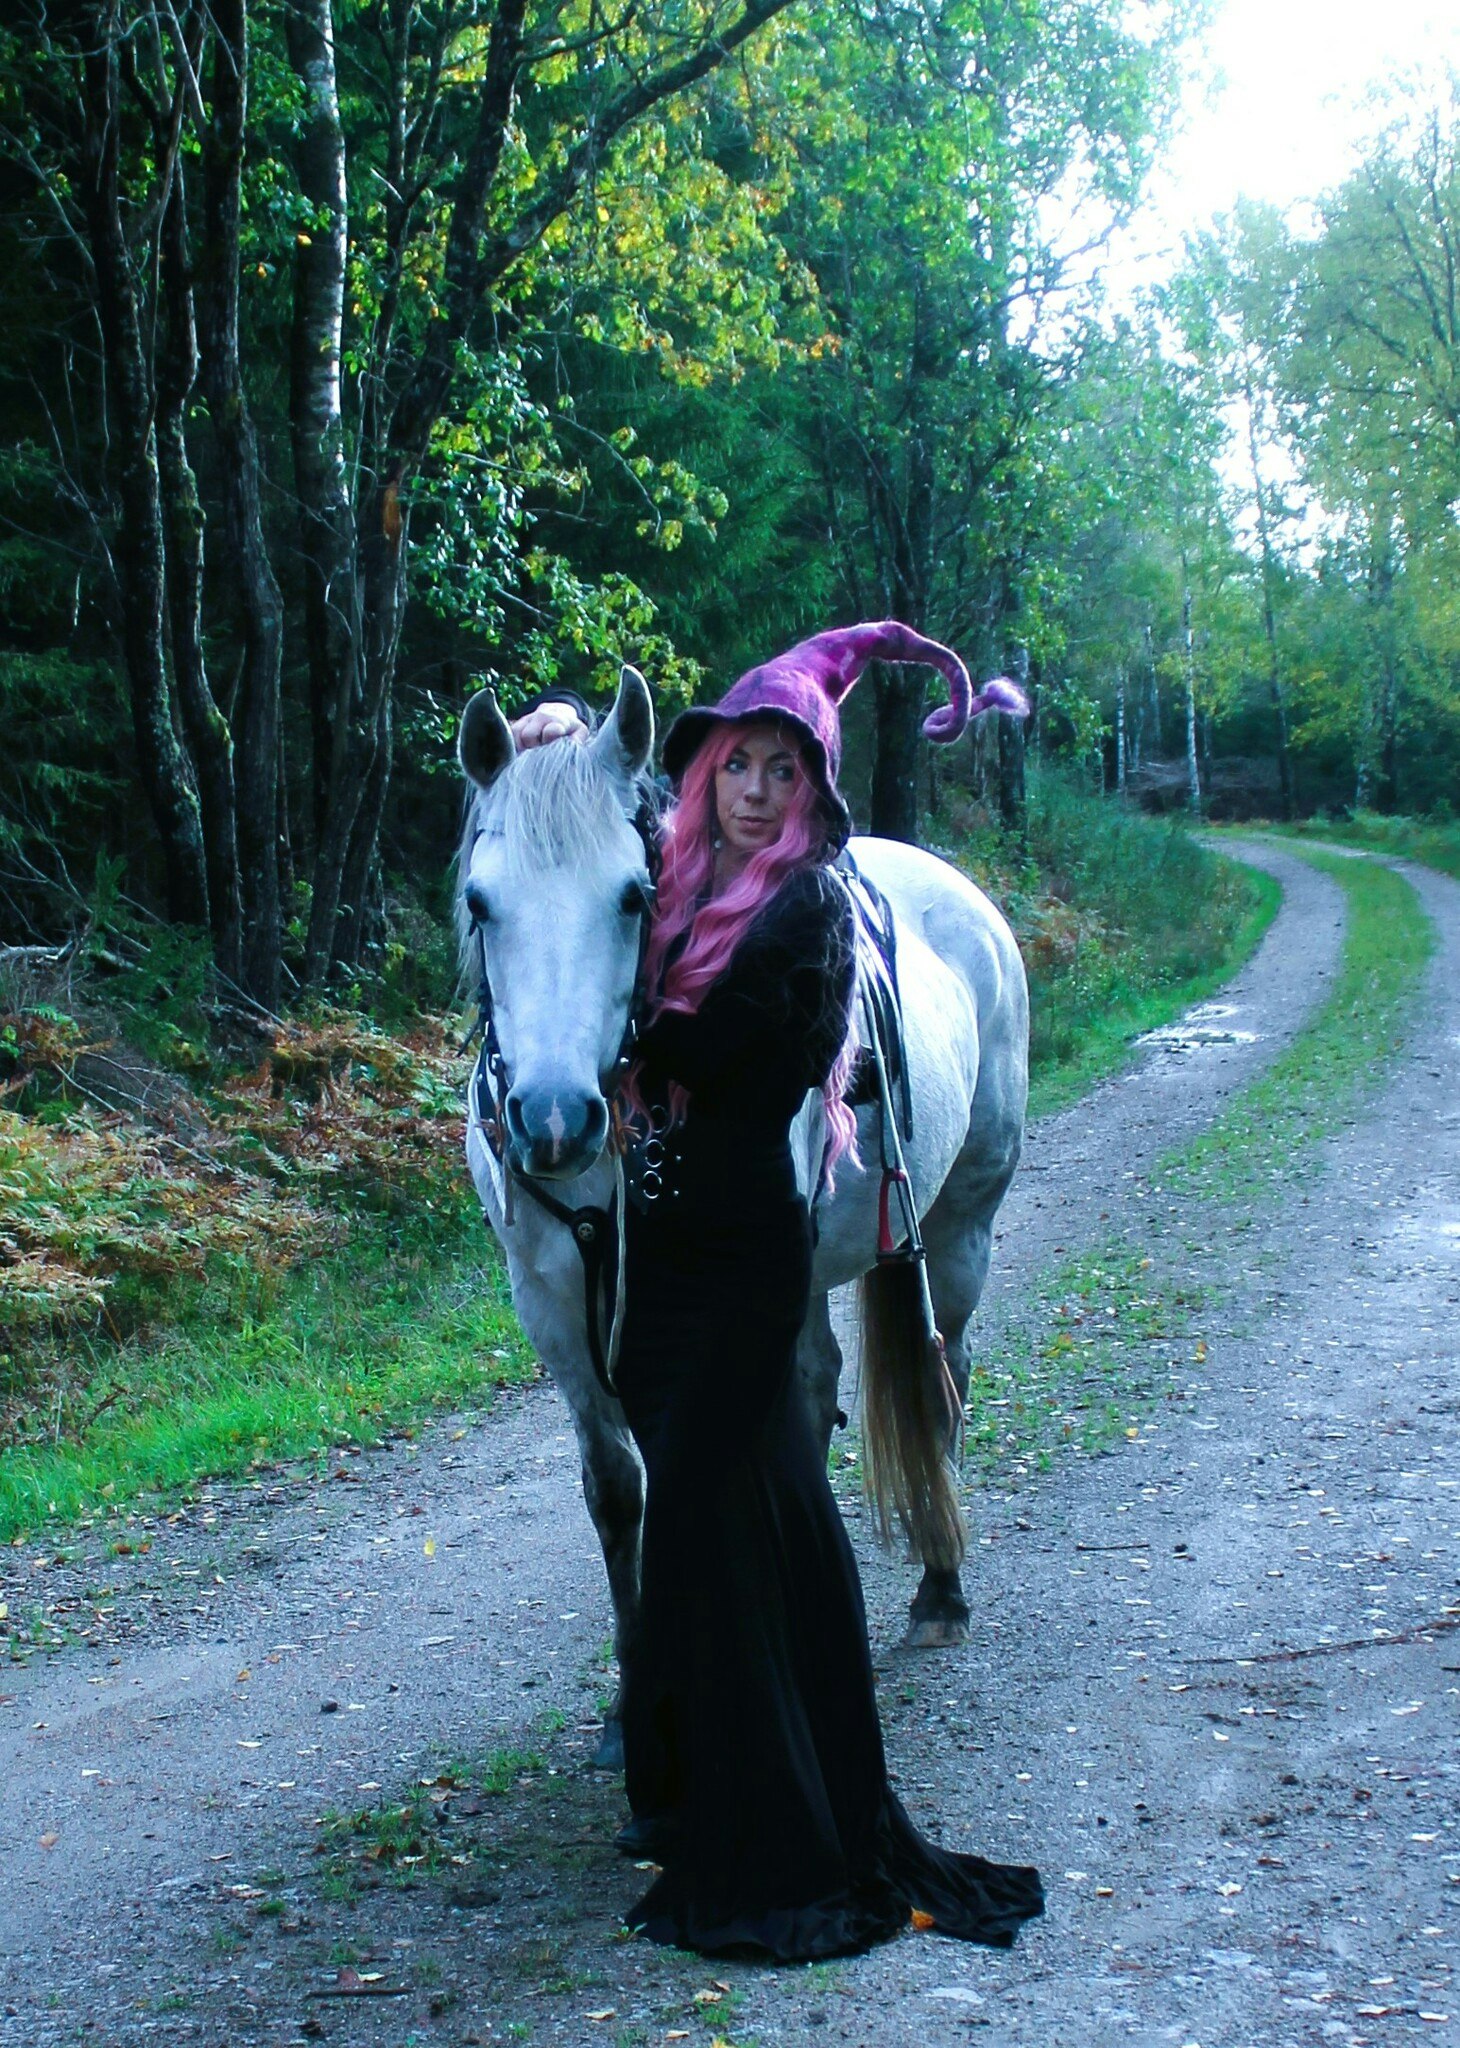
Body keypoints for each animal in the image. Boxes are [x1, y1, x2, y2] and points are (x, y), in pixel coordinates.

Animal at [454, 667, 1023, 1761]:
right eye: (479, 900)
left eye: (634, 894)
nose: (554, 1118)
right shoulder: (553, 1309)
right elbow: (617, 1488)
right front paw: (629, 1706)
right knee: (816, 1380)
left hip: (961, 1225)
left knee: (945, 1375)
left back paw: (940, 1586)